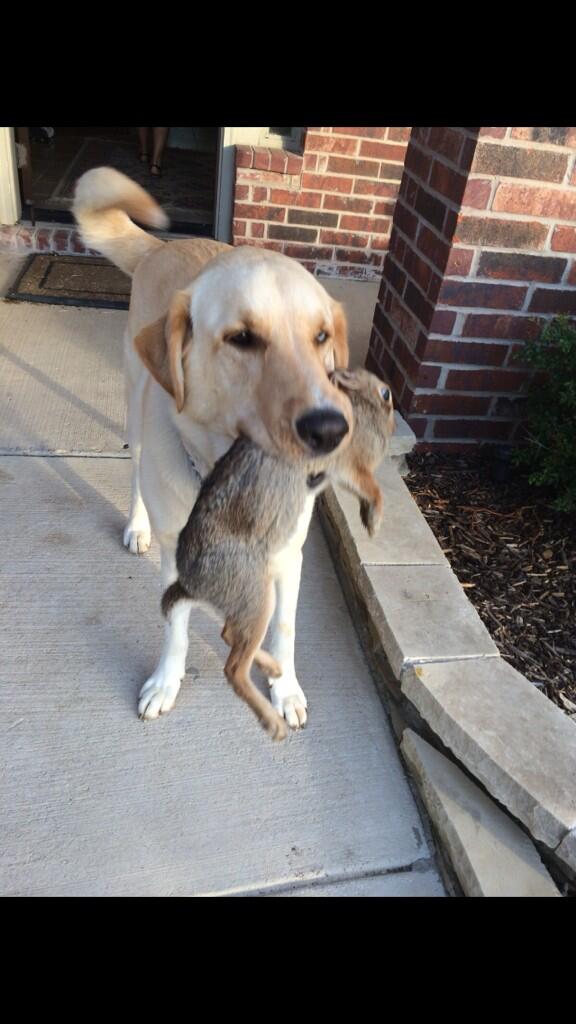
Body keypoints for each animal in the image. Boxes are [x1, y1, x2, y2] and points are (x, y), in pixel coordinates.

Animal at [160, 368, 394, 740]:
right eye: (386, 394)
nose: (395, 424)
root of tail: (191, 584)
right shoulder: (350, 465)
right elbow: (372, 488)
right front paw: (373, 523)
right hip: (259, 597)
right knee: (233, 668)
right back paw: (273, 723)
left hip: (251, 601)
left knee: (228, 635)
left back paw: (272, 667)